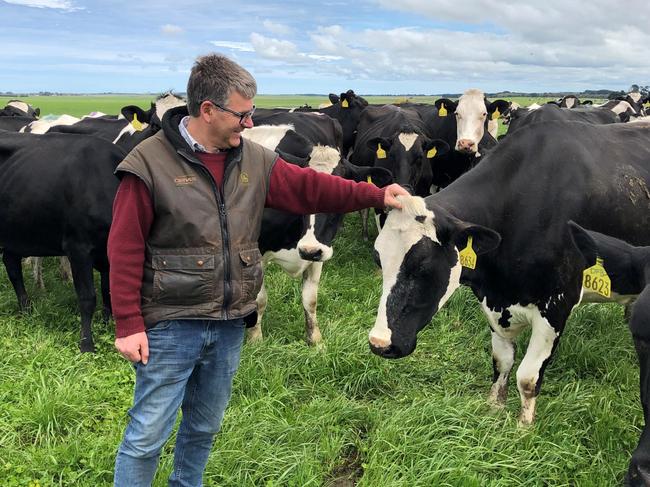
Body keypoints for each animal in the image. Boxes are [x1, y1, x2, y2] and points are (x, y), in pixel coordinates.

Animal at [0, 132, 124, 352]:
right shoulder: (78, 248)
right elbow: (87, 297)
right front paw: (87, 345)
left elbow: (108, 290)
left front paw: (107, 325)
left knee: (12, 266)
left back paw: (27, 310)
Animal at [368, 121, 648, 428]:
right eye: (379, 258)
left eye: (423, 265)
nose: (379, 343)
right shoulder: (493, 301)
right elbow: (501, 361)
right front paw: (494, 408)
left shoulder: (557, 307)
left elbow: (527, 377)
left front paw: (523, 428)